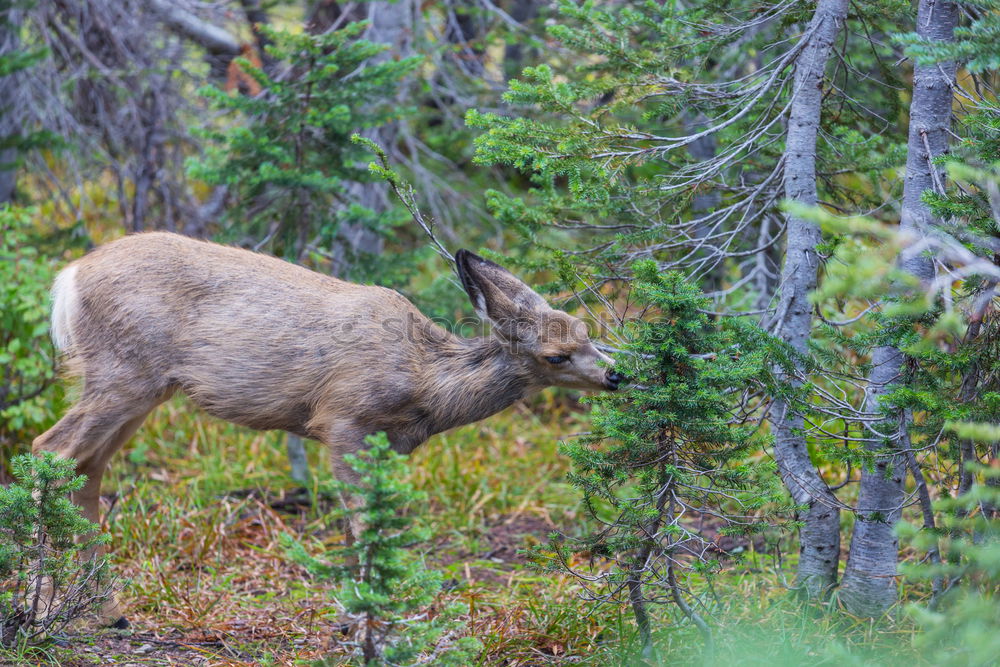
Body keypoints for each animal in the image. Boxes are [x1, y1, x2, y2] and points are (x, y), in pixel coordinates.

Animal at [31, 232, 620, 628]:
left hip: (140, 389)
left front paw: (362, 612)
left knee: (86, 469)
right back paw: (39, 606)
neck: (426, 385)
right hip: (124, 372)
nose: (618, 374)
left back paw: (106, 609)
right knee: (49, 450)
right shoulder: (343, 419)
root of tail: (69, 277)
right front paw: (364, 617)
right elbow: (361, 521)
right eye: (556, 354)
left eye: (585, 329)